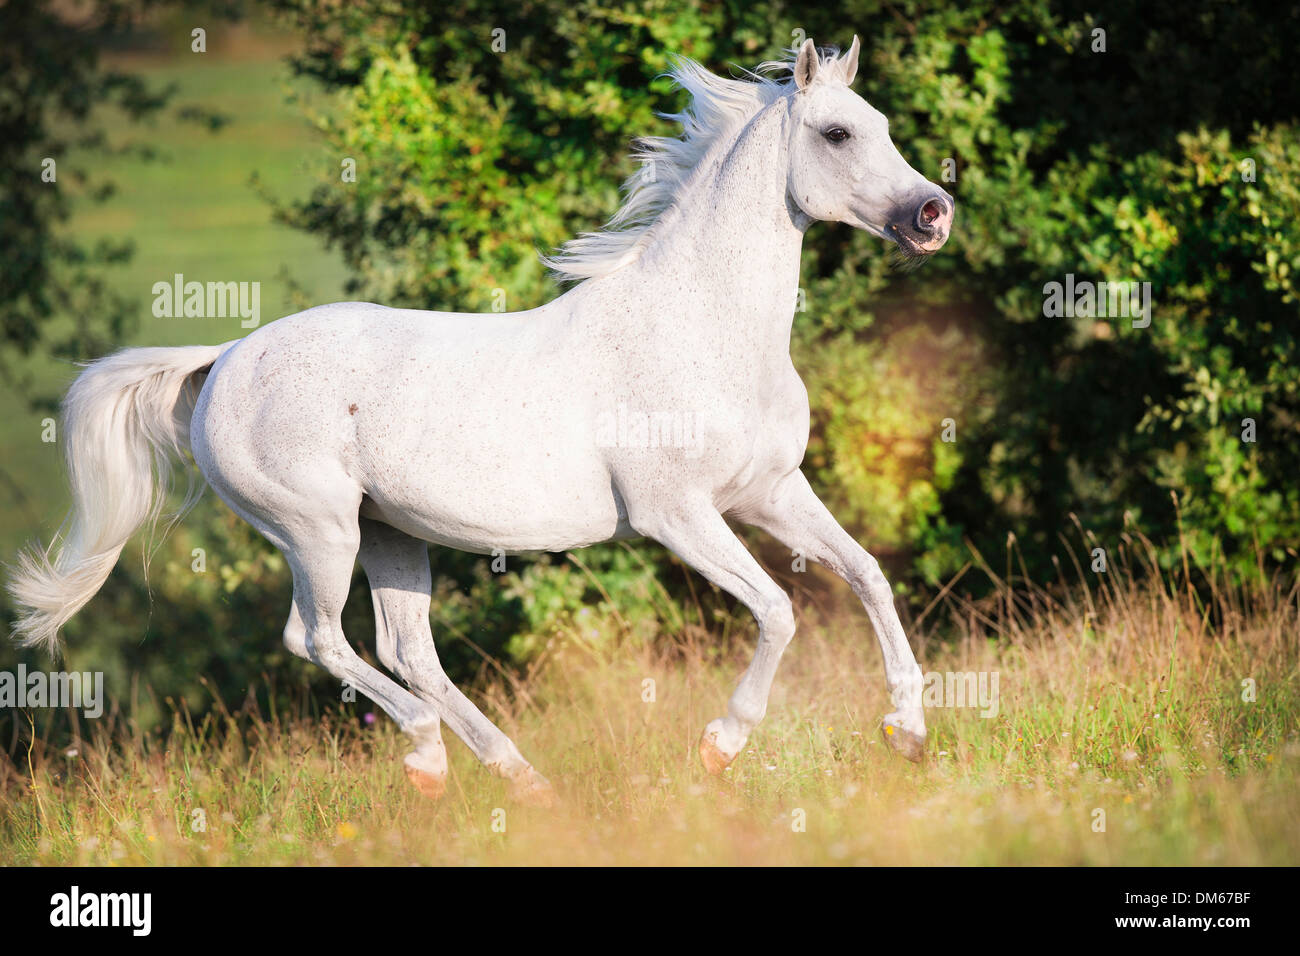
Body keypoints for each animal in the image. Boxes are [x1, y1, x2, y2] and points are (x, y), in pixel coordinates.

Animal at [8, 38, 953, 805]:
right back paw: (430, 759)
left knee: (406, 650)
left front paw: (907, 735)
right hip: (316, 531)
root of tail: (226, 357)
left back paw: (522, 782)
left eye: (882, 125)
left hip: (388, 532)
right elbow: (780, 612)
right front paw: (719, 747)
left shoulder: (768, 493)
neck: (701, 327)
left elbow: (867, 576)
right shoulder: (678, 515)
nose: (933, 214)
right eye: (837, 133)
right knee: (316, 638)